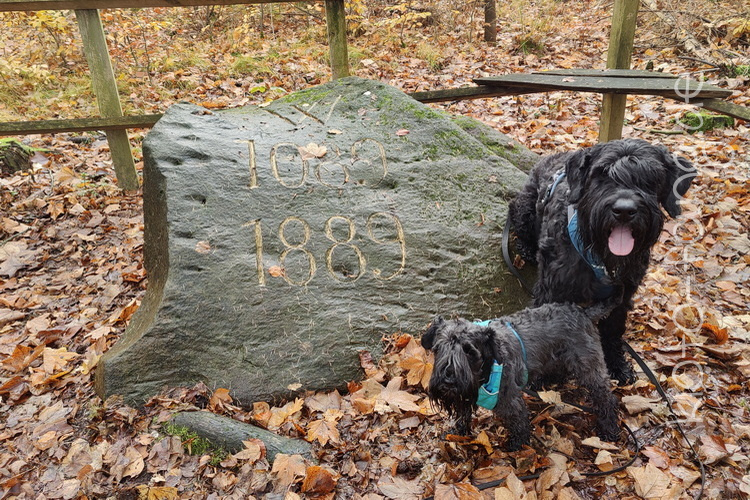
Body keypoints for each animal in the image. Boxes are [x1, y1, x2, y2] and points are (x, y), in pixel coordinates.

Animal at [421, 296, 621, 451]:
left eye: (469, 351)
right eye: (438, 348)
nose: (448, 382)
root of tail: (582, 312)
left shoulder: (510, 400)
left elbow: (519, 423)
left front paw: (518, 446)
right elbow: (463, 413)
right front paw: (457, 432)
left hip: (589, 367)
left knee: (606, 397)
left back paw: (609, 428)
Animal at [508, 139, 696, 385]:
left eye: (651, 177)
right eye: (602, 174)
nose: (624, 211)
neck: (600, 258)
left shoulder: (622, 295)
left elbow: (613, 330)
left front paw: (616, 364)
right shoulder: (552, 289)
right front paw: (543, 378)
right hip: (525, 209)